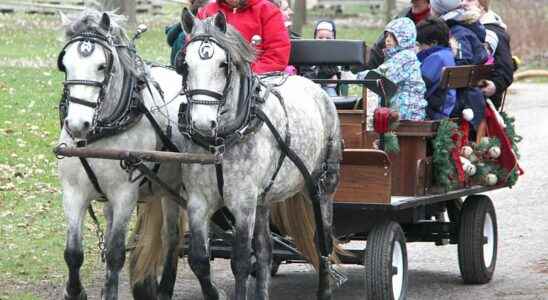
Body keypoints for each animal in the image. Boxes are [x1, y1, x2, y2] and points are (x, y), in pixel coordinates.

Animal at [57, 9, 186, 300]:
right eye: (65, 64)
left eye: (102, 66)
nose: (77, 125)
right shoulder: (73, 192)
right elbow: (73, 253)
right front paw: (75, 292)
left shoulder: (125, 194)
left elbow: (116, 254)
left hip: (174, 189)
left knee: (172, 238)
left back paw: (165, 288)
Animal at [178, 9, 342, 300]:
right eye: (185, 65)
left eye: (223, 65)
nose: (202, 124)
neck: (223, 139)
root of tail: (316, 88)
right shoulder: (199, 201)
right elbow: (199, 259)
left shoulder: (243, 203)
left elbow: (242, 261)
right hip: (264, 199)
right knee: (266, 249)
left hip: (322, 185)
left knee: (322, 240)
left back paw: (325, 289)